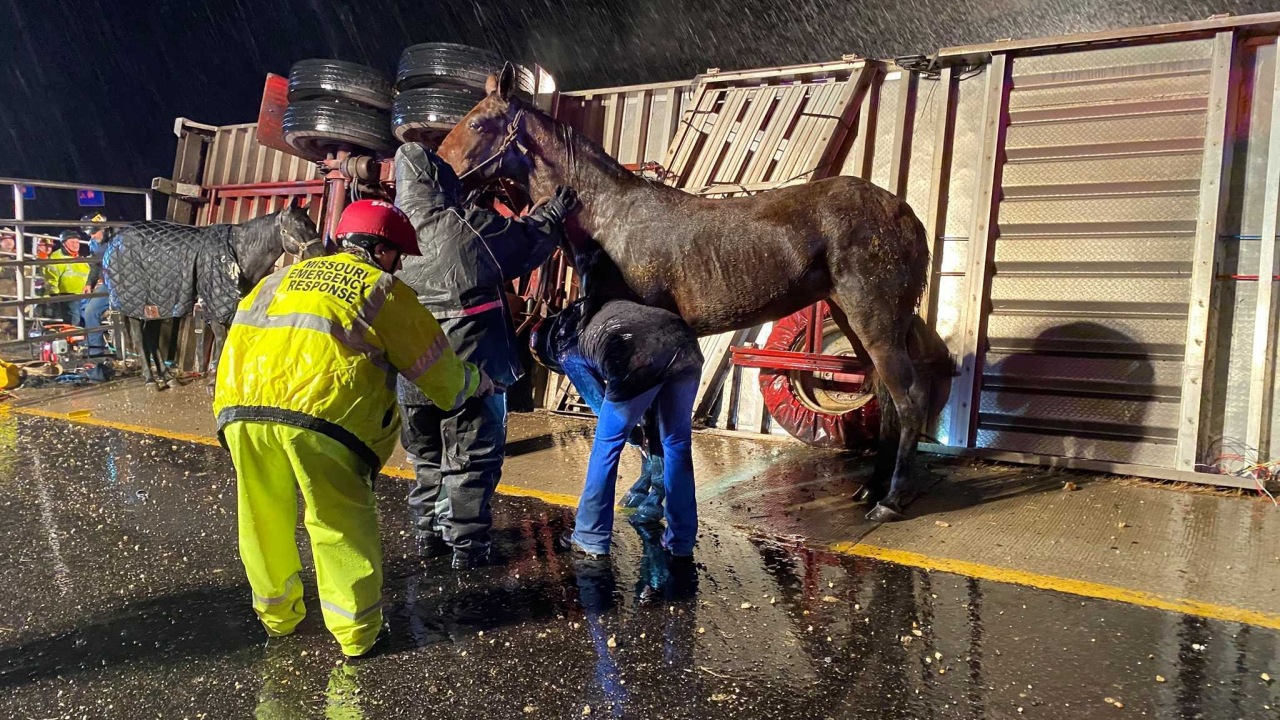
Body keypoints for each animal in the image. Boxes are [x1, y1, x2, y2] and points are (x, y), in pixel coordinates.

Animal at [104, 204, 325, 389]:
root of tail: (116, 237)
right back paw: (151, 380)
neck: (237, 252)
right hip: (136, 302)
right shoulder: (216, 308)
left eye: (312, 223)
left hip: (159, 302)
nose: (321, 253)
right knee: (139, 336)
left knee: (151, 335)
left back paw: (168, 378)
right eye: (298, 225)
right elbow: (221, 341)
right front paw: (214, 382)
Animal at [440, 64, 952, 517]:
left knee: (908, 399)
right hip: (856, 320)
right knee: (887, 398)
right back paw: (871, 489)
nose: (440, 172)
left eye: (479, 122)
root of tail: (904, 213)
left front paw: (653, 497)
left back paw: (890, 500)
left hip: (875, 320)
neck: (612, 220)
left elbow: (648, 424)